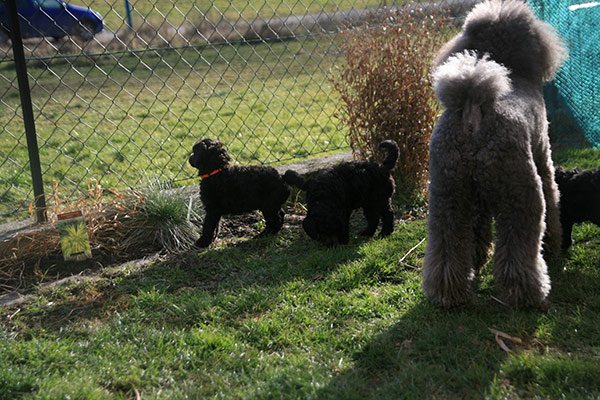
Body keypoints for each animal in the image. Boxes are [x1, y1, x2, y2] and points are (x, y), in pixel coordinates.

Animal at [422, 0, 567, 308]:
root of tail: (472, 120)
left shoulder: (474, 197)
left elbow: (478, 230)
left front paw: (478, 260)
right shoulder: (543, 157)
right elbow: (553, 198)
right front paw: (553, 246)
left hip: (447, 195)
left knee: (447, 246)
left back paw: (447, 293)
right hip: (520, 191)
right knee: (520, 244)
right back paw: (528, 294)